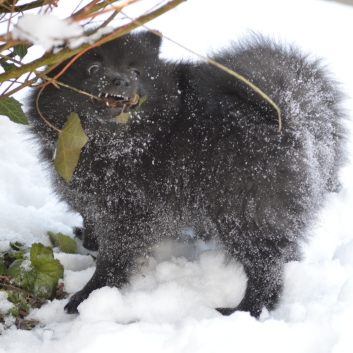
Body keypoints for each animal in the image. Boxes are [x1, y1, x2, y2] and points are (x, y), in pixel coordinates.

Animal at [26, 30, 346, 316]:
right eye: (93, 68)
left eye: (136, 71)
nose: (122, 80)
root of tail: (285, 115)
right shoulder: (91, 198)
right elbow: (91, 221)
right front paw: (89, 240)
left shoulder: (130, 212)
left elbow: (114, 257)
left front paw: (90, 294)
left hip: (242, 211)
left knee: (266, 270)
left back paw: (246, 310)